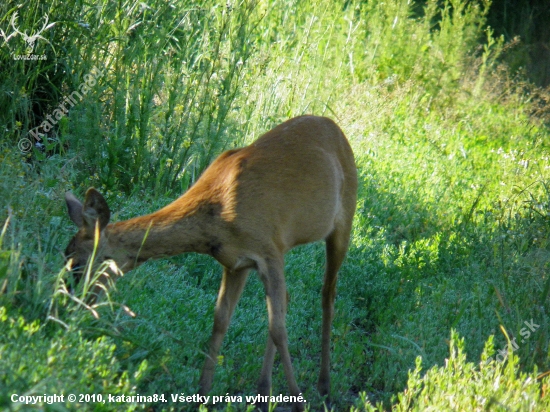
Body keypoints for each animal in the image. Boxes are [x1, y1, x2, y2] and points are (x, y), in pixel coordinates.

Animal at [64, 114, 360, 410]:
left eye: (78, 264)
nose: (72, 306)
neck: (216, 215)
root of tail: (336, 129)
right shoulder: (237, 261)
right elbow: (221, 320)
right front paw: (202, 396)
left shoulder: (268, 249)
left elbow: (278, 329)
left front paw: (298, 401)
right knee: (287, 300)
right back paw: (263, 394)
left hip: (343, 220)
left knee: (327, 295)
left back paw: (324, 387)